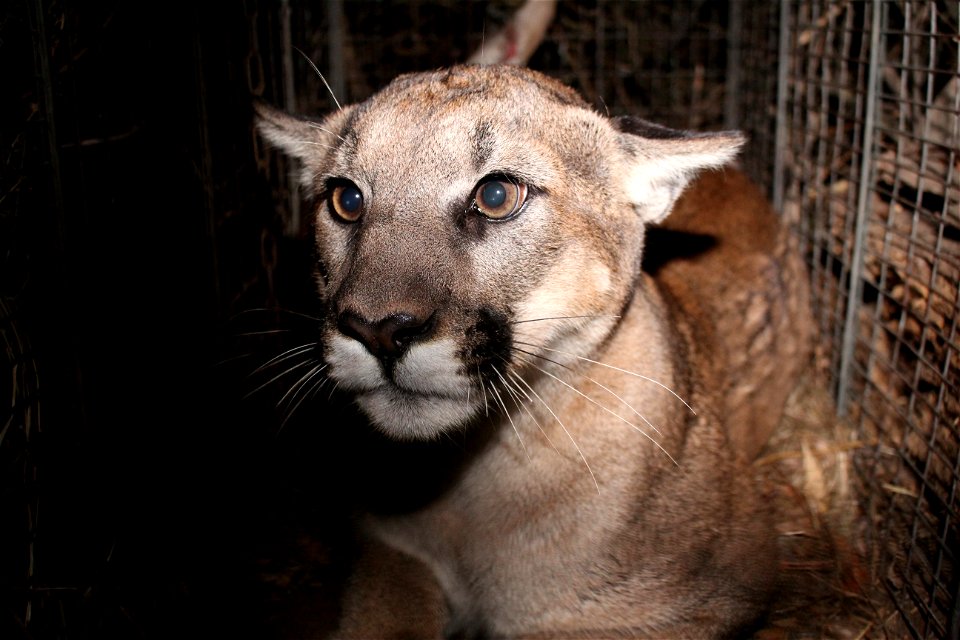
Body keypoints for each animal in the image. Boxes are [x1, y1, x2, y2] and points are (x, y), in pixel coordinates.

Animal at [255, 62, 808, 636]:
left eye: (496, 195)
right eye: (346, 199)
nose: (377, 330)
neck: (474, 482)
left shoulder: (719, 586)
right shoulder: (391, 548)